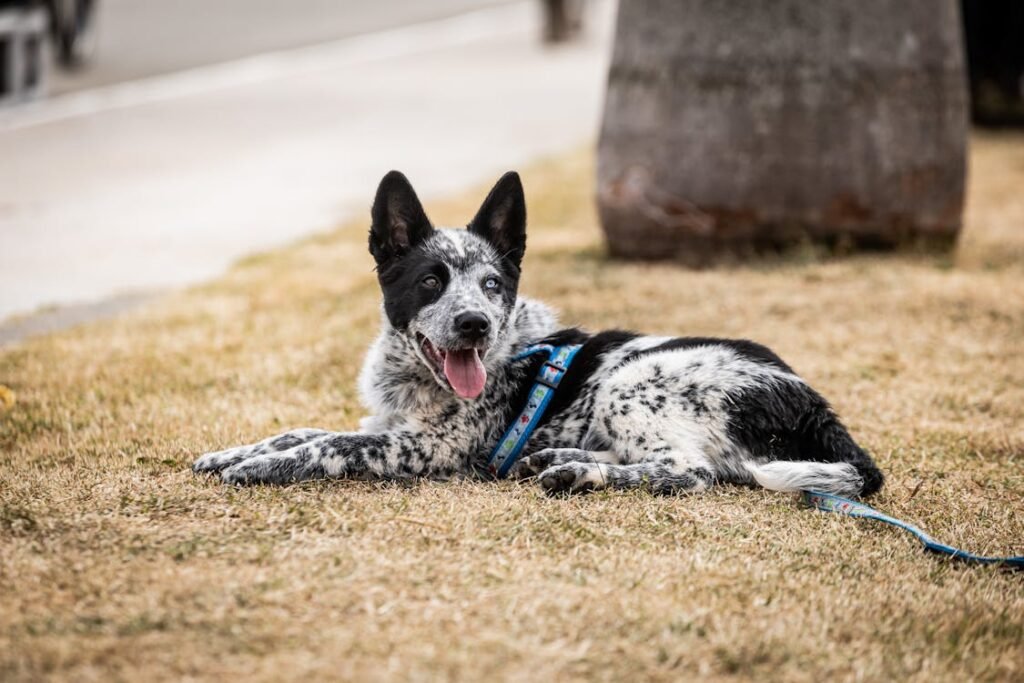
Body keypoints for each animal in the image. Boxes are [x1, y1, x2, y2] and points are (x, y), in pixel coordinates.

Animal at [195, 169, 884, 497]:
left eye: (494, 283)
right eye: (430, 281)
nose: (474, 324)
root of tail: (814, 404)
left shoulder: (419, 448)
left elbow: (329, 446)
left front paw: (260, 467)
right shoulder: (386, 422)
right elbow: (300, 429)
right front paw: (236, 451)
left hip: (636, 381)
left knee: (691, 471)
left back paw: (578, 475)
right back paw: (558, 458)